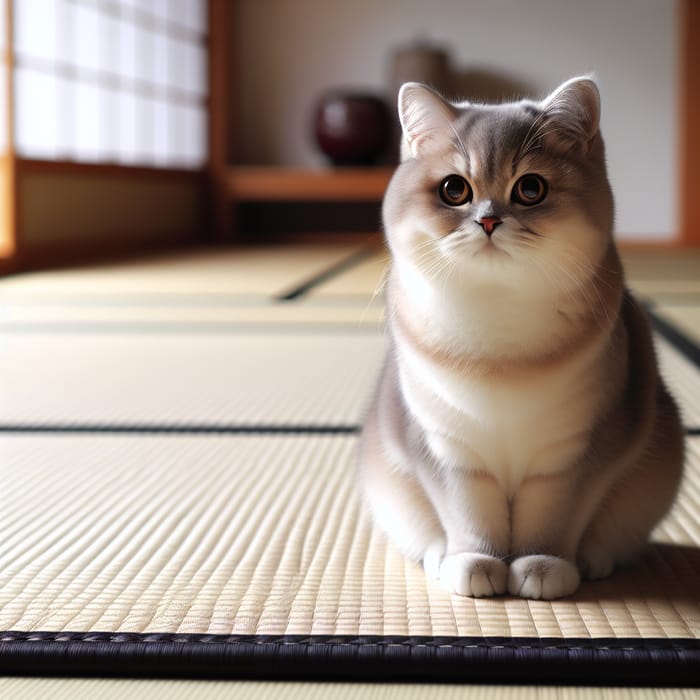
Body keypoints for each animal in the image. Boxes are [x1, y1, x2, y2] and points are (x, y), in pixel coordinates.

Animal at [360, 78, 684, 600]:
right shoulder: (447, 449)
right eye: (454, 189)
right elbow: (467, 513)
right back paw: (438, 555)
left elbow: (554, 514)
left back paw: (594, 560)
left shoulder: (577, 448)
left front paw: (542, 565)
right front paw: (474, 562)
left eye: (530, 188)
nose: (489, 221)